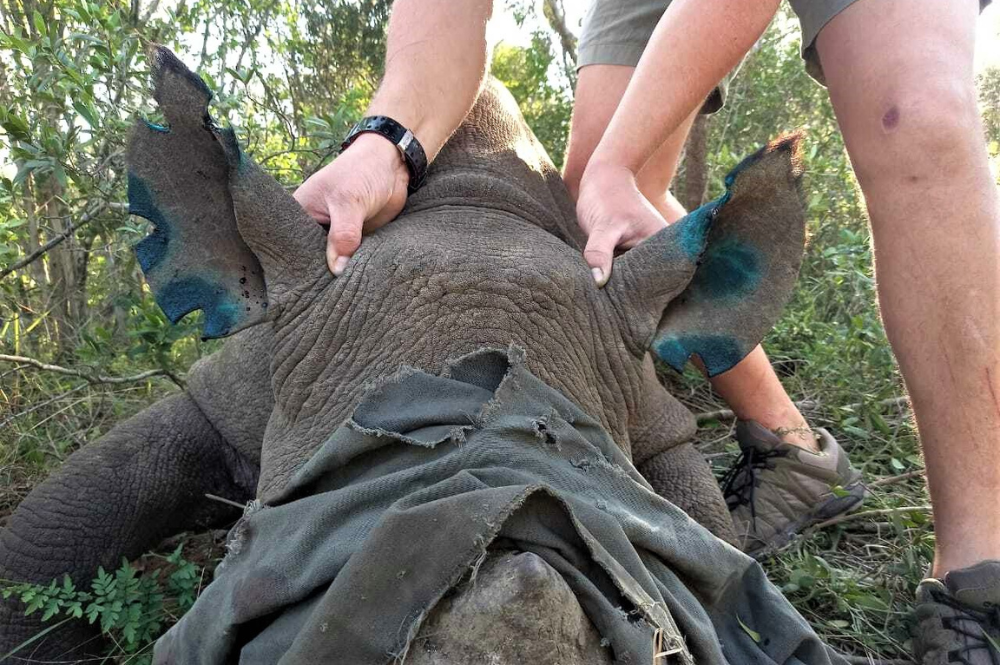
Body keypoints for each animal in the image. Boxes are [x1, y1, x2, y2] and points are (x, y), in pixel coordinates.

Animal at [0, 48, 836, 664]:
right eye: (251, 542)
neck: (476, 215)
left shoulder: (653, 417)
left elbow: (711, 540)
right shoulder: (238, 380)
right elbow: (47, 536)